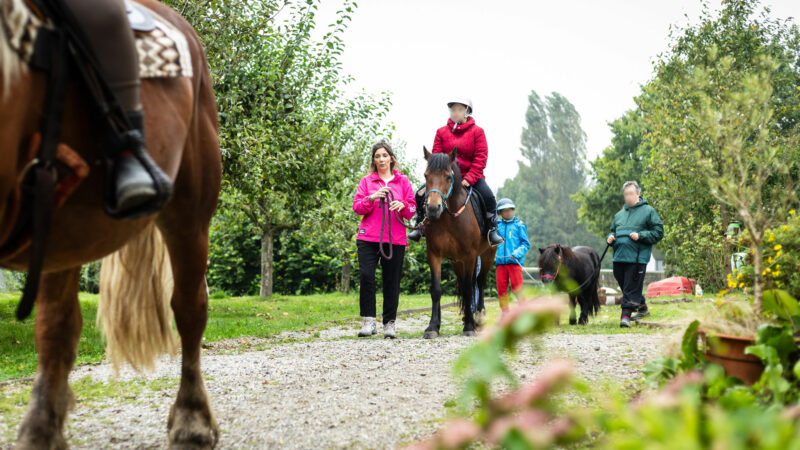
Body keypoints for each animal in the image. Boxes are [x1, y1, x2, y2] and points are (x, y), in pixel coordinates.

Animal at [1, 1, 222, 448]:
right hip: (64, 236)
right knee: (57, 326)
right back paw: (40, 429)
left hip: (189, 217)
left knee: (190, 308)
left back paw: (192, 421)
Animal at [418, 148, 494, 338]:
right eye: (426, 175)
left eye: (447, 177)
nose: (433, 208)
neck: (449, 218)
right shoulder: (434, 254)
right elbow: (436, 290)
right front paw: (433, 326)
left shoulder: (470, 256)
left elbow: (468, 289)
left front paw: (469, 326)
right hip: (457, 262)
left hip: (488, 255)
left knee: (479, 281)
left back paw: (479, 316)